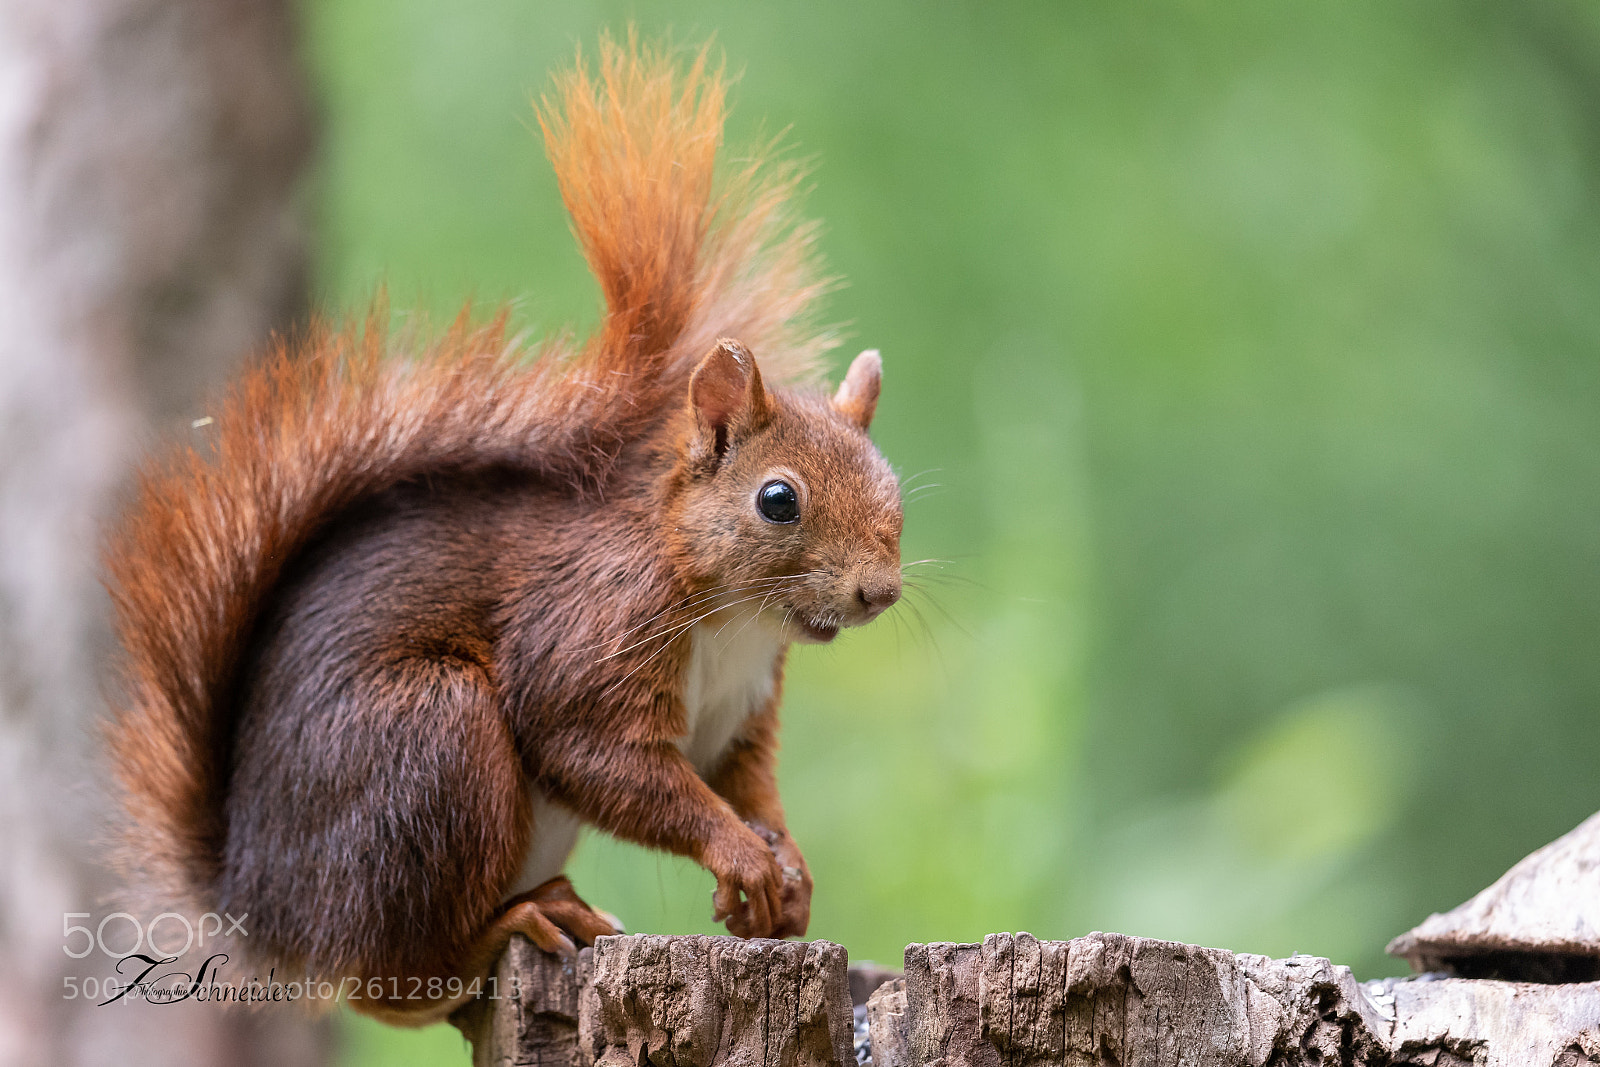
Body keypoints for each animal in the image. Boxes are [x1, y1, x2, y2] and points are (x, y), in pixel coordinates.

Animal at [103, 37, 902, 1027]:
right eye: (778, 499)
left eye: (892, 484)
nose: (880, 591)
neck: (729, 613)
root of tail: (264, 910)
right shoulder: (589, 635)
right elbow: (600, 755)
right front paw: (741, 853)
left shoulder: (738, 711)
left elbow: (742, 779)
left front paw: (786, 868)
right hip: (432, 743)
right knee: (394, 976)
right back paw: (513, 924)